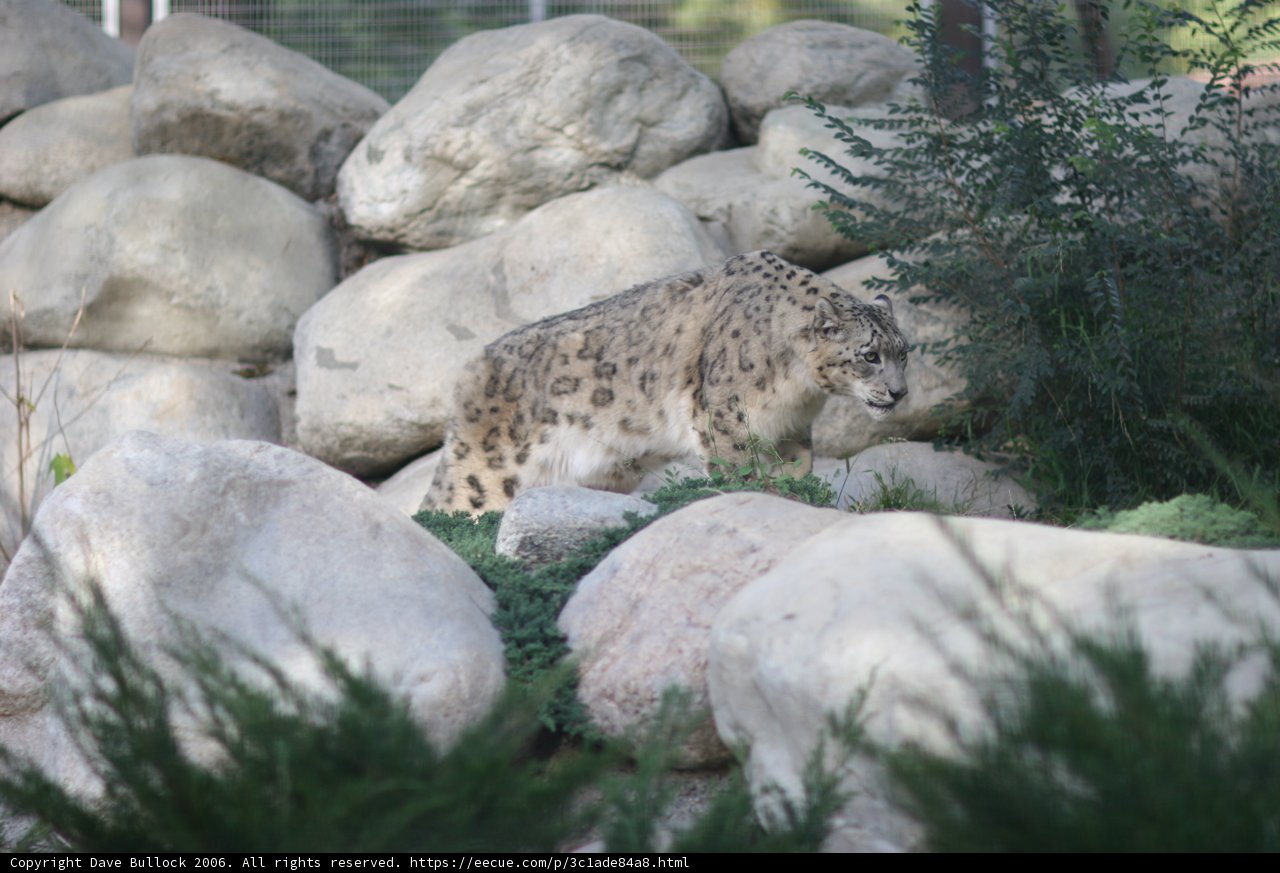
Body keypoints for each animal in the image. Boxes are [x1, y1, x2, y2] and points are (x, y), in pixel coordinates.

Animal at [421, 249, 909, 514]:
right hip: (485, 476)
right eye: (870, 355)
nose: (900, 392)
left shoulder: (789, 427)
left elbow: (797, 469)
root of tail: (470, 369)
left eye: (904, 352)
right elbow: (739, 469)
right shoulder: (726, 417)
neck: (798, 390)